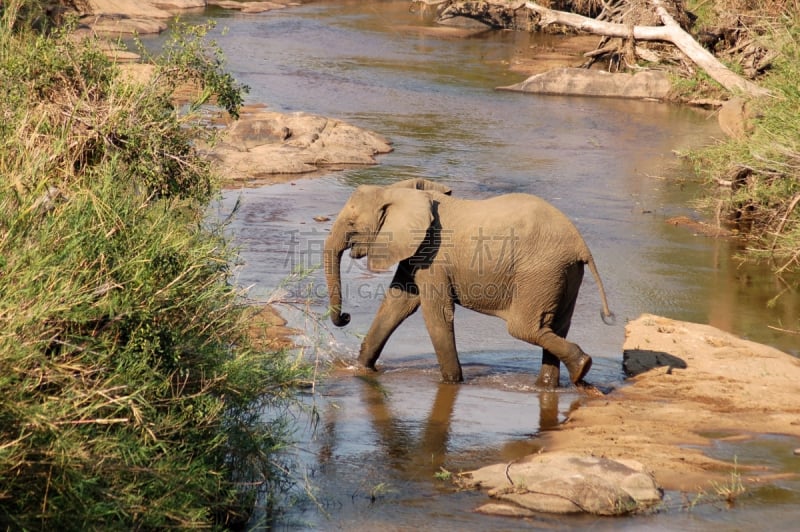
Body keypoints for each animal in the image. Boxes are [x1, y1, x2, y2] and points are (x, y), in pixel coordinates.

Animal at [324, 178, 612, 386]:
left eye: (352, 223)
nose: (346, 317)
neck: (397, 191)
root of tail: (581, 245)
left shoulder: (433, 255)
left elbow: (436, 312)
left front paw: (452, 382)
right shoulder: (416, 253)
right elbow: (398, 303)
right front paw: (360, 368)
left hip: (541, 271)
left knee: (524, 328)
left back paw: (580, 367)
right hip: (564, 273)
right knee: (555, 326)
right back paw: (557, 381)